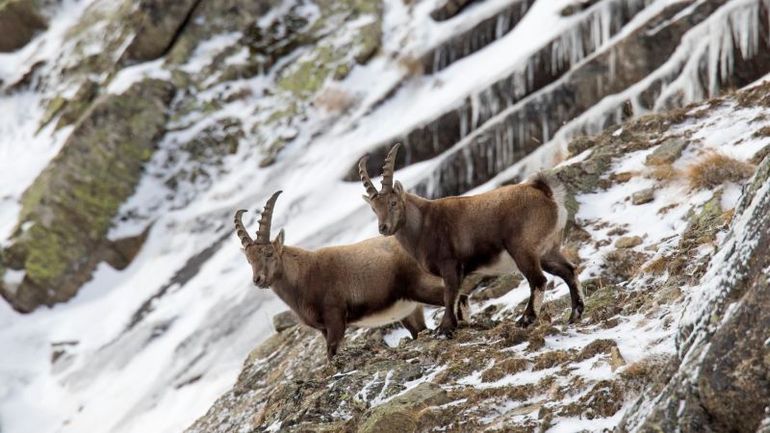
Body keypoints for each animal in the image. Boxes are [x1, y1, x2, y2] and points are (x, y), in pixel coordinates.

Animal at [235, 190, 462, 360]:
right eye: (249, 260)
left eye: (268, 252)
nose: (258, 280)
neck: (303, 275)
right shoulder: (323, 329)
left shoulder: (335, 318)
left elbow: (332, 352)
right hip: (409, 309)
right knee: (421, 327)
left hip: (422, 287)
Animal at [359, 144, 583, 337]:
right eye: (374, 209)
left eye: (393, 202)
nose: (383, 228)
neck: (423, 224)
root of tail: (546, 194)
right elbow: (456, 296)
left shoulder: (449, 265)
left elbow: (450, 296)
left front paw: (445, 329)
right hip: (548, 250)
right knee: (568, 271)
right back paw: (575, 314)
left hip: (522, 249)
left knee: (539, 280)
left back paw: (526, 319)